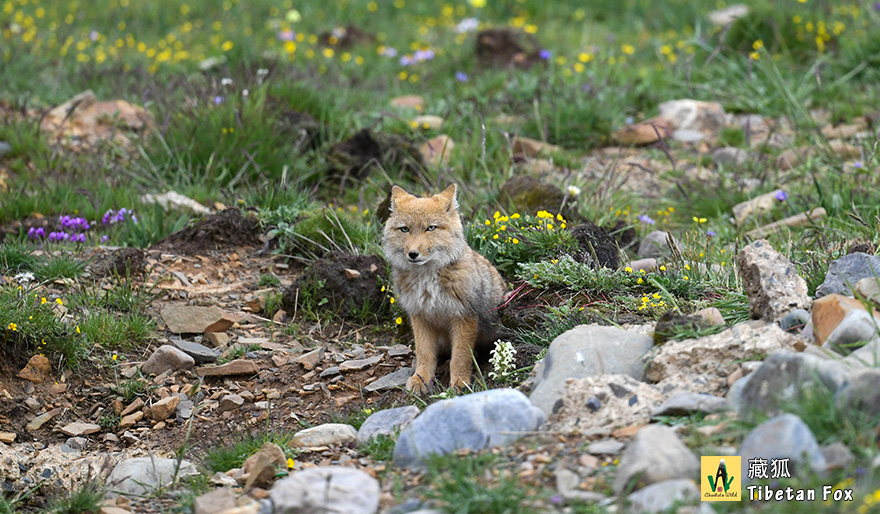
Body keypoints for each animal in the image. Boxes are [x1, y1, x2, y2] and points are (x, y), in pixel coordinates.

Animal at [382, 184, 506, 392]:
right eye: (405, 229)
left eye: (430, 228)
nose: (413, 254)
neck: (427, 282)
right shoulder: (420, 317)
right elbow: (424, 354)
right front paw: (421, 379)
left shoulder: (464, 317)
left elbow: (460, 357)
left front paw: (459, 382)